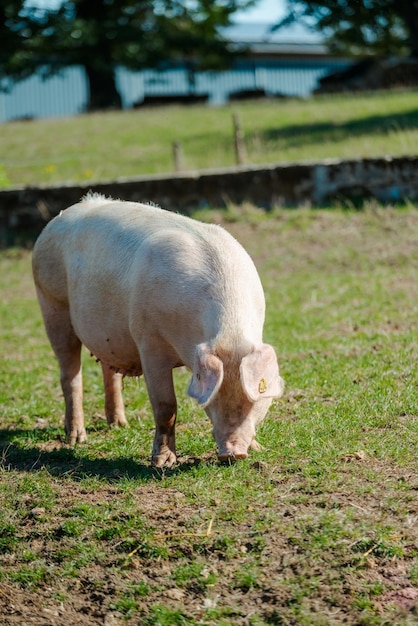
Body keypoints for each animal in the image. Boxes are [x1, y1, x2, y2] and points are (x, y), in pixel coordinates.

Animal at [31, 194, 284, 464]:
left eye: (256, 397)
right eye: (214, 395)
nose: (234, 453)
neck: (228, 333)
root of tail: (53, 222)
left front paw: (258, 449)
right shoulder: (149, 344)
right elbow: (166, 407)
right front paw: (162, 462)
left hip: (110, 333)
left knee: (109, 372)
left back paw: (120, 425)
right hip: (52, 305)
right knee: (70, 375)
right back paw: (77, 439)